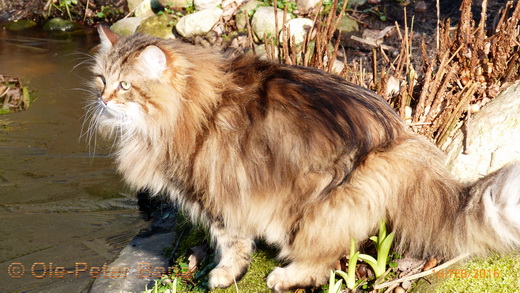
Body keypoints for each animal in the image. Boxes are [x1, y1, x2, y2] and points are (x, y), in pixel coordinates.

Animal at [87, 26, 520, 290]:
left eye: (125, 86)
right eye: (102, 80)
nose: (103, 100)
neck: (189, 106)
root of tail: (398, 140)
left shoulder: (217, 193)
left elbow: (229, 243)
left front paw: (223, 274)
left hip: (316, 205)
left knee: (325, 257)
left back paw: (285, 276)